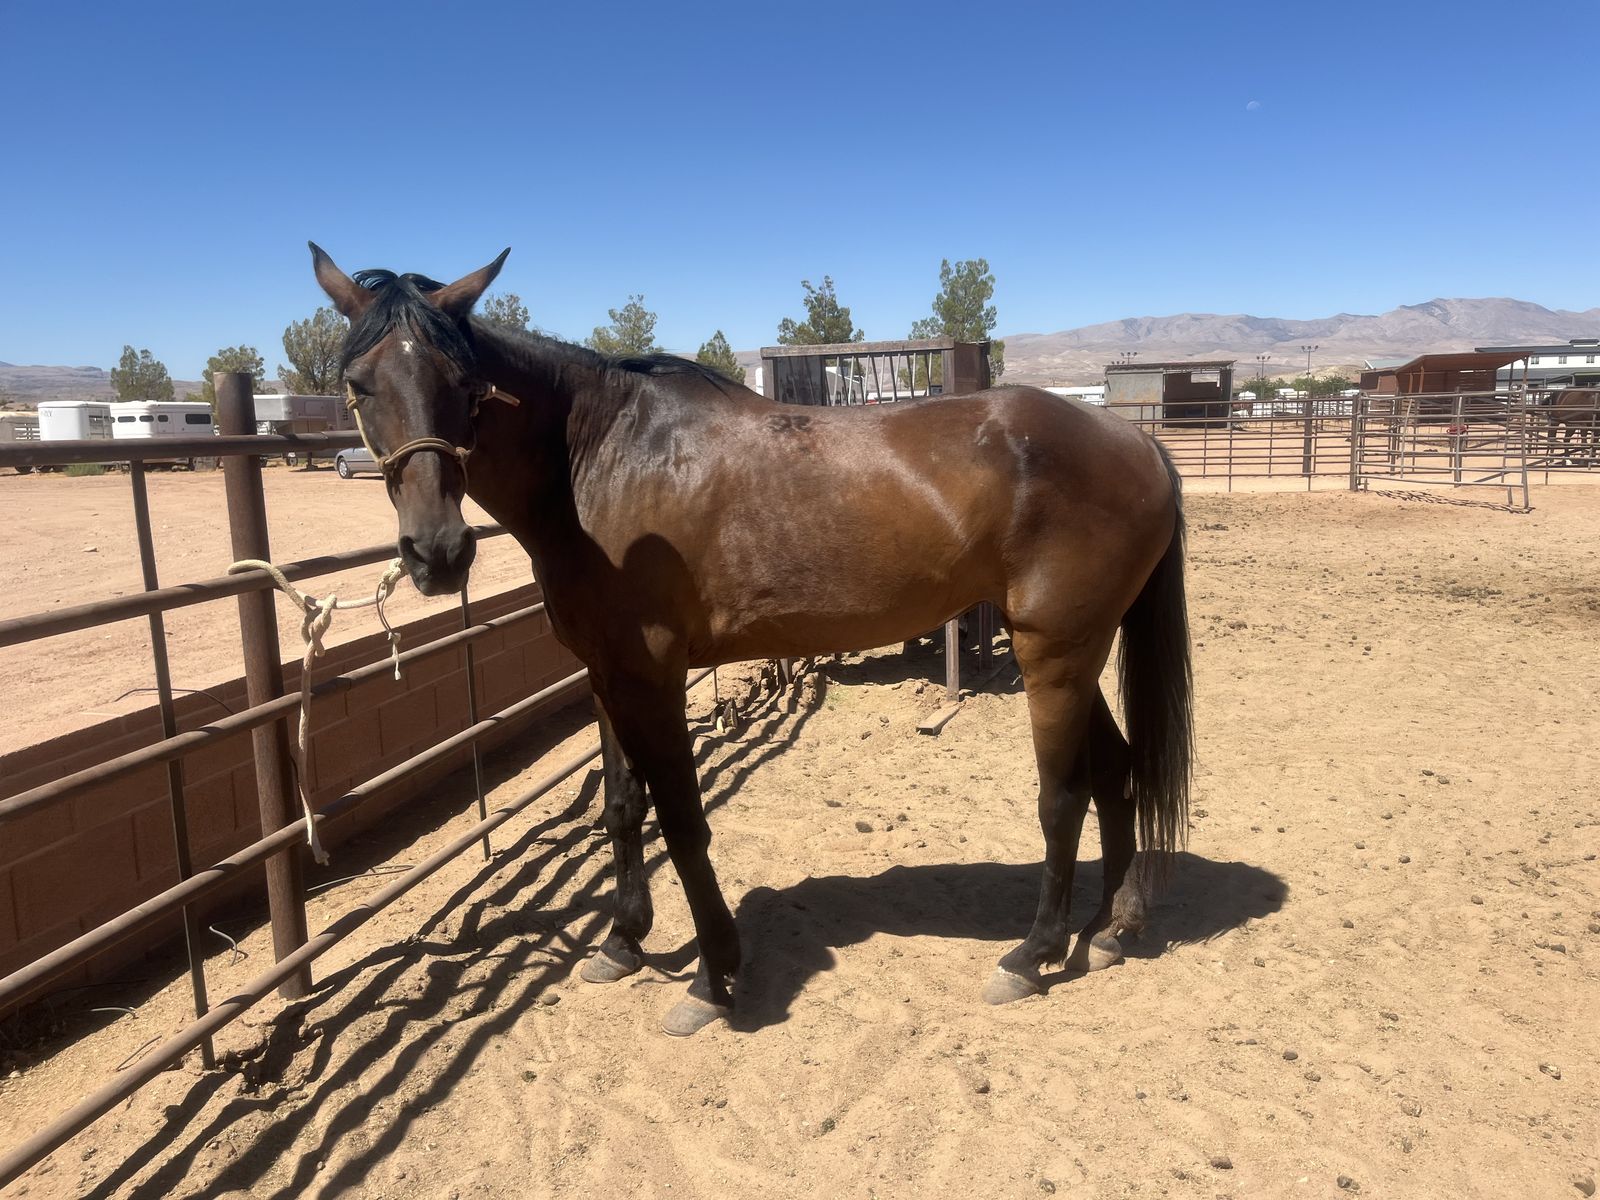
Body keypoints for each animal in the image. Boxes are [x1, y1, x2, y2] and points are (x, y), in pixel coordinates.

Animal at [311, 245, 1194, 1036]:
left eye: (464, 386)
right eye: (359, 386)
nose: (437, 553)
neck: (599, 458)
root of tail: (1136, 442)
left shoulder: (653, 678)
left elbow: (681, 820)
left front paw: (712, 977)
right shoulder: (606, 674)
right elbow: (623, 809)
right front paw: (623, 943)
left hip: (1056, 654)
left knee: (1064, 796)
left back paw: (1032, 954)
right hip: (1073, 652)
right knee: (1118, 774)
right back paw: (1110, 928)